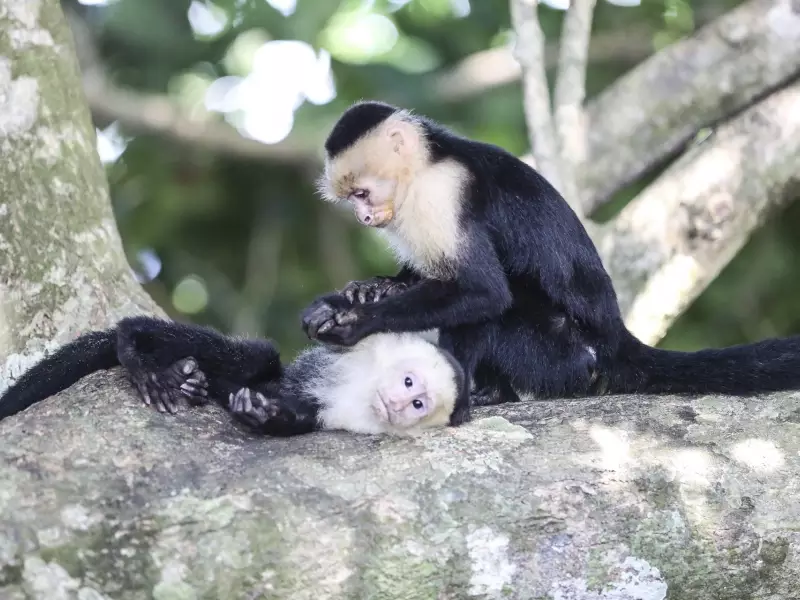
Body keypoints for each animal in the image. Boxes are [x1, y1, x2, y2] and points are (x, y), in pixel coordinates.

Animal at [0, 312, 466, 438]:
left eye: (419, 404)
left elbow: (304, 414)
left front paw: (260, 413)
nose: (400, 406)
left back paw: (189, 380)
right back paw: (133, 347)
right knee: (256, 357)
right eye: (409, 383)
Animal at [304, 99, 800, 426]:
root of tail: (616, 341)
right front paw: (368, 290)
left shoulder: (439, 193)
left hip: (567, 358)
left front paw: (359, 320)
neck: (429, 162)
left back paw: (473, 398)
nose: (365, 218)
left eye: (363, 193)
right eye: (352, 199)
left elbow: (482, 290)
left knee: (497, 307)